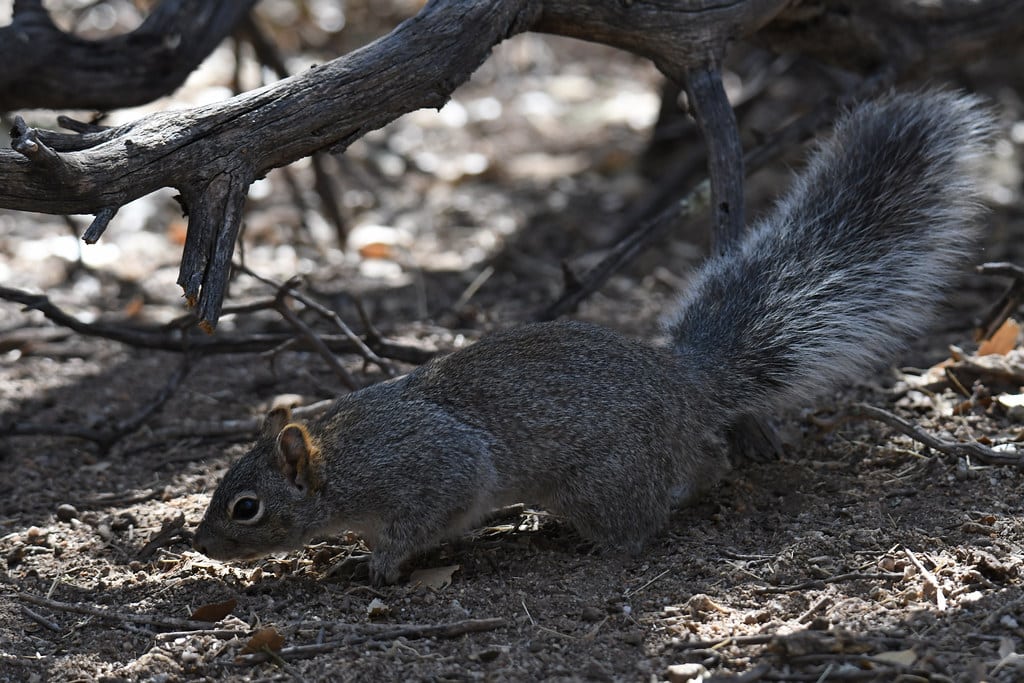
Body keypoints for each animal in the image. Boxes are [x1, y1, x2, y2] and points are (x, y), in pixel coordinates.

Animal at [194, 90, 995, 585]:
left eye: (245, 507)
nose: (199, 544)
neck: (343, 458)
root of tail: (688, 385)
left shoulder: (430, 470)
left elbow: (425, 517)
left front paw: (379, 563)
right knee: (704, 464)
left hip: (602, 482)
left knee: (647, 514)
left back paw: (584, 540)